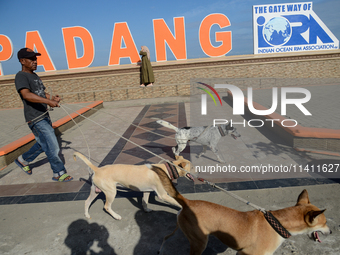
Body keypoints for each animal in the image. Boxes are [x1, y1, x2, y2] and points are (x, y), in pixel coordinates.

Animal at [151, 165, 332, 255]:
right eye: (324, 223)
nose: (331, 232)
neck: (279, 223)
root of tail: (187, 201)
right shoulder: (246, 254)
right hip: (199, 242)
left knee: (166, 237)